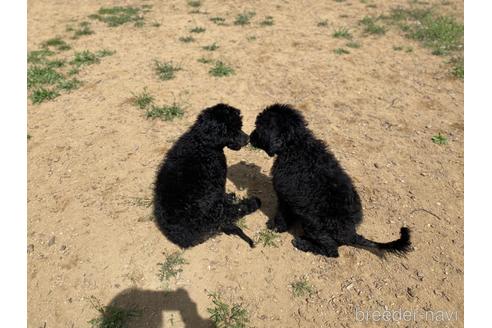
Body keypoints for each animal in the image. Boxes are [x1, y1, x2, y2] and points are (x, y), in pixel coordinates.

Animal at [154, 105, 262, 249]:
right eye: (231, 129)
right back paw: (254, 202)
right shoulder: (218, 180)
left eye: (239, 126)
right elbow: (224, 197)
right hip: (214, 208)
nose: (247, 139)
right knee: (232, 211)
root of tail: (182, 238)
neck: (203, 144)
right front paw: (230, 197)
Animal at [250, 104, 412, 258]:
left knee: (331, 250)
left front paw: (276, 227)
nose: (250, 137)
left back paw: (303, 243)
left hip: (313, 222)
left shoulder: (284, 195)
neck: (295, 147)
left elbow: (281, 214)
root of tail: (351, 234)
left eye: (259, 127)